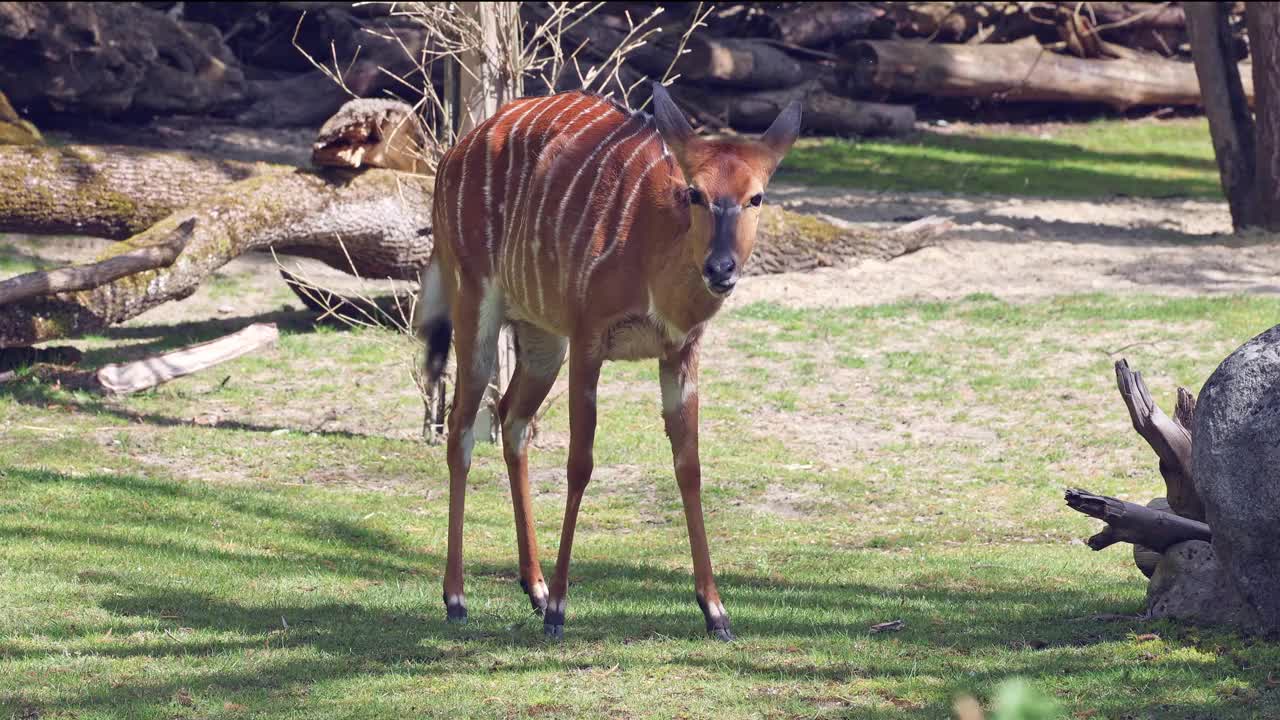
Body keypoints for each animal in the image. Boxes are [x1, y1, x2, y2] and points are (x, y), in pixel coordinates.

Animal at [414, 83, 798, 638]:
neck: (652, 245)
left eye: (756, 197)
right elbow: (580, 463)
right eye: (695, 193)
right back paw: (458, 598)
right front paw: (559, 611)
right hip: (476, 305)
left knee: (512, 420)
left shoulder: (681, 352)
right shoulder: (589, 338)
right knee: (461, 427)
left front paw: (716, 611)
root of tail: (453, 153)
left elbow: (689, 466)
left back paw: (533, 587)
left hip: (541, 339)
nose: (721, 269)